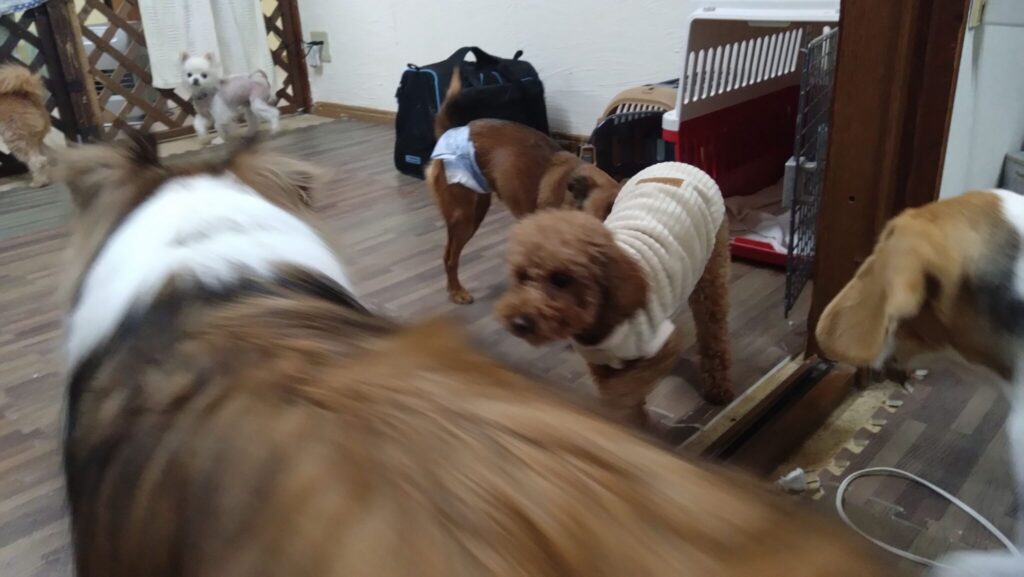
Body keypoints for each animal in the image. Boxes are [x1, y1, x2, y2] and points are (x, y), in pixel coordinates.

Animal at [497, 162, 733, 425]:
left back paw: (718, 388)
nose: (519, 323)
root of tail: (679, 164)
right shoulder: (601, 363)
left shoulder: (661, 346)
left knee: (713, 334)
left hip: (711, 274)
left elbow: (623, 393)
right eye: (521, 276)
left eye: (561, 280)